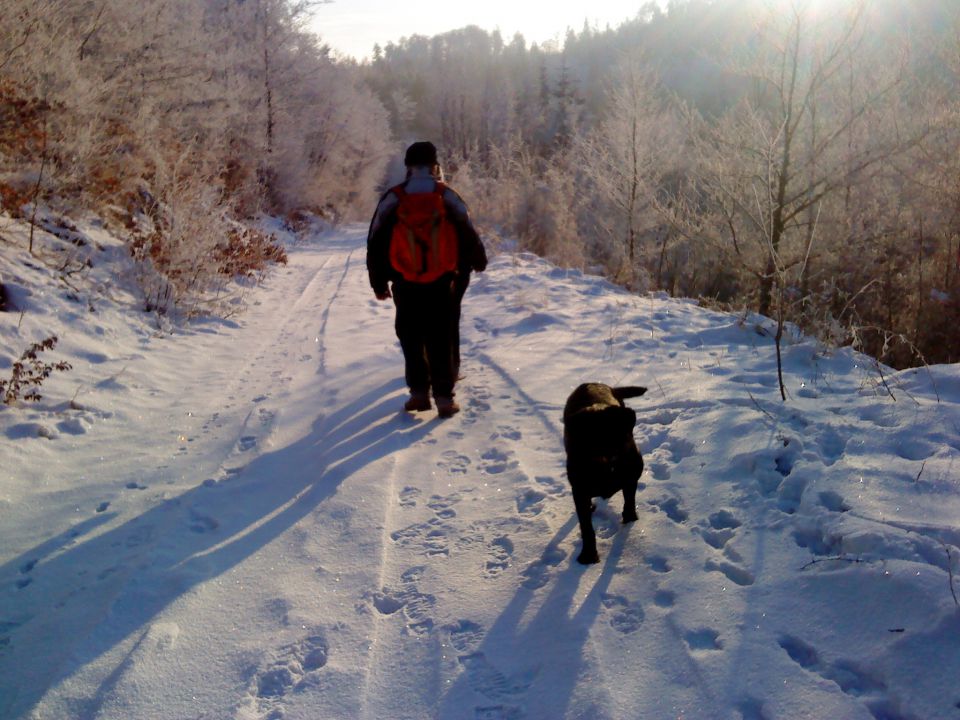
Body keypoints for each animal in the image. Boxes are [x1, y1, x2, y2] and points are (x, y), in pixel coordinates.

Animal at [564, 386, 644, 564]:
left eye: (612, 431)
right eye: (585, 436)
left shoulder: (631, 478)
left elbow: (629, 503)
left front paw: (630, 521)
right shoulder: (580, 491)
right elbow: (586, 527)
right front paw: (588, 555)